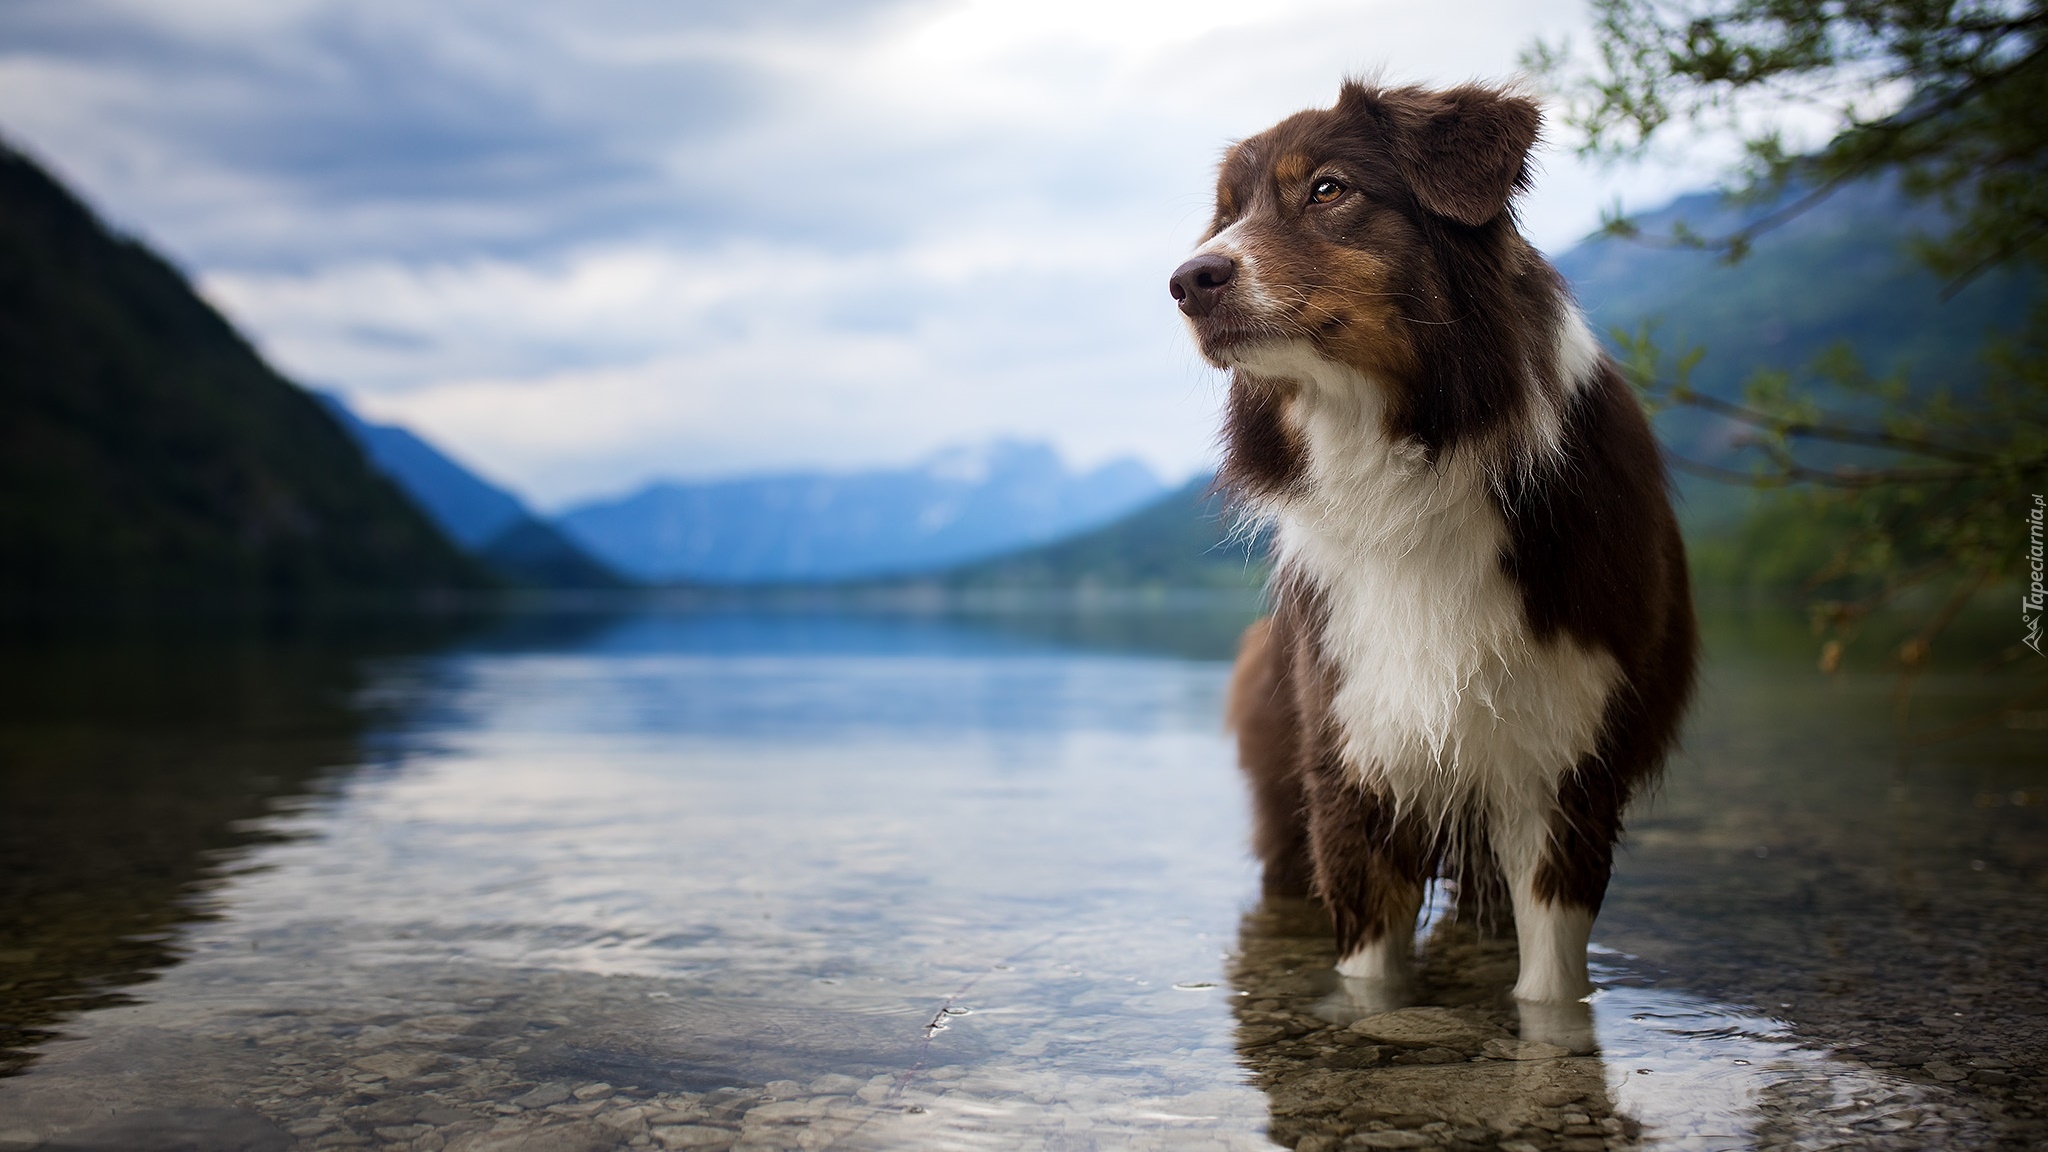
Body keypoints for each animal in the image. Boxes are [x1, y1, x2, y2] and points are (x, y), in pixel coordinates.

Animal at [1171, 85, 1695, 1008]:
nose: (1188, 281)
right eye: (1226, 216)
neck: (1410, 464)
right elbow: (1368, 975)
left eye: (1329, 189)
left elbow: (1550, 982)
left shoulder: (1564, 768)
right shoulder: (1354, 755)